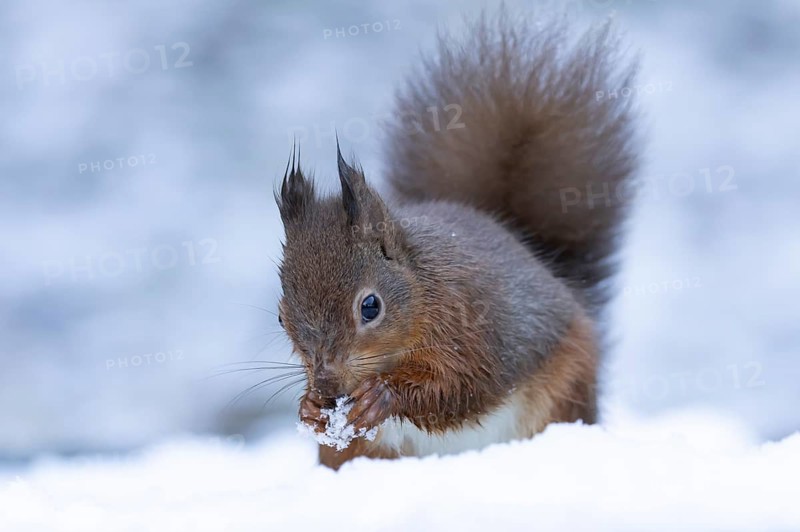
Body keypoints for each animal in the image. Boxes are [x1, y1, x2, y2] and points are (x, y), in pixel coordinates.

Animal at [275, 10, 638, 470]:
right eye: (281, 317)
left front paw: (383, 396)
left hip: (566, 389)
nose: (325, 386)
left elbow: (461, 387)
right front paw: (308, 409)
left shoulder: (475, 323)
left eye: (371, 307)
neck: (423, 286)